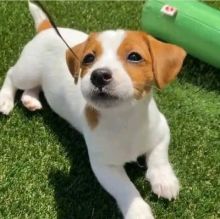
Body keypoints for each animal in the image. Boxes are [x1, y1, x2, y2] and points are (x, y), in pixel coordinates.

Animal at [0, 2, 186, 219]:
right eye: (88, 58)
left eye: (134, 57)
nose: (99, 75)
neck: (124, 117)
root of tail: (47, 29)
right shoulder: (104, 166)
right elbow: (126, 189)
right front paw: (138, 211)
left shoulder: (162, 129)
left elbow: (159, 156)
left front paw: (164, 180)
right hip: (28, 71)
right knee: (12, 74)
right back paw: (5, 100)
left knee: (34, 87)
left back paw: (30, 99)